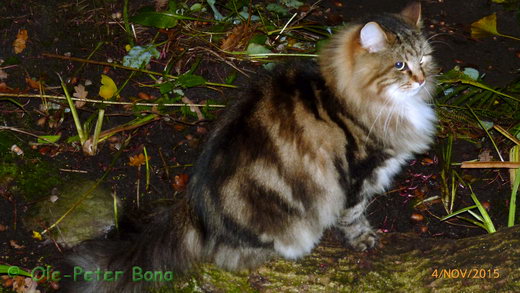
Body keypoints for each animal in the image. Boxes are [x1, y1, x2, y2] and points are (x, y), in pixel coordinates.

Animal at [66, 1, 438, 290]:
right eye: (400, 65)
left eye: (423, 60)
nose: (421, 80)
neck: (352, 96)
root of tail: (195, 211)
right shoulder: (356, 174)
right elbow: (354, 215)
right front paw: (364, 239)